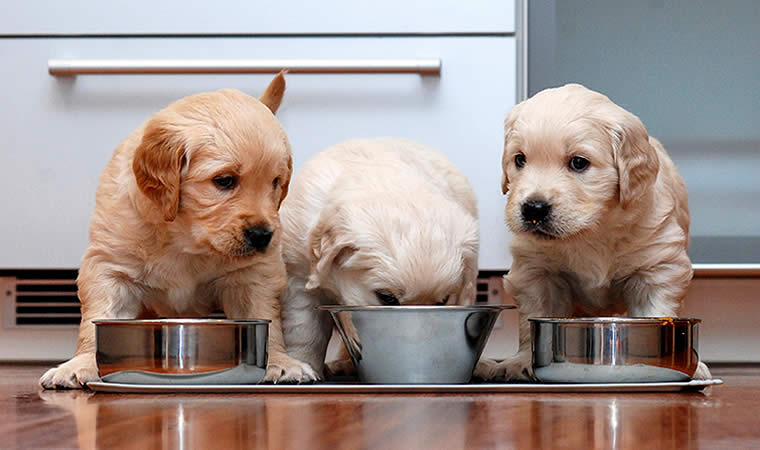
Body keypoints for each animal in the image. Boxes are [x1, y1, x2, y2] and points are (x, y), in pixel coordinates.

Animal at [39, 72, 318, 388]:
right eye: (224, 180)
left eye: (276, 182)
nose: (263, 235)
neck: (185, 238)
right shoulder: (109, 266)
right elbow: (96, 319)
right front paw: (81, 364)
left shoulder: (253, 273)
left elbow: (264, 316)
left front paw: (280, 362)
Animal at [476, 83, 712, 380]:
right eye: (520, 160)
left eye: (579, 162)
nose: (533, 209)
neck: (592, 230)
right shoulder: (536, 271)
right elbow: (533, 317)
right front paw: (521, 362)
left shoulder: (657, 267)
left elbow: (656, 310)